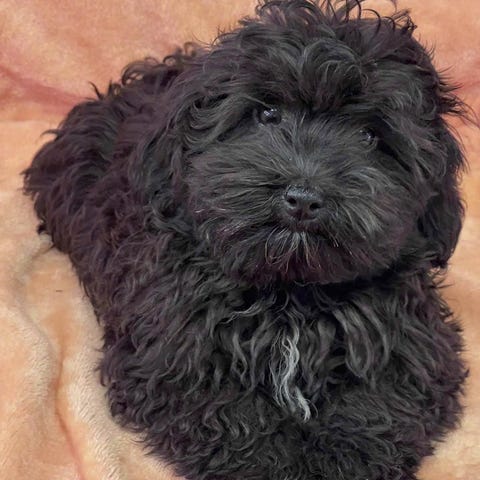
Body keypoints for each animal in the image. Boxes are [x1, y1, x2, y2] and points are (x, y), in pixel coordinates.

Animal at [23, 1, 469, 479]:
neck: (290, 292)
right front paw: (270, 463)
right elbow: (230, 415)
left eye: (369, 136)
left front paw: (342, 459)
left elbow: (377, 402)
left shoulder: (410, 342)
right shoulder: (174, 351)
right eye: (267, 114)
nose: (303, 198)